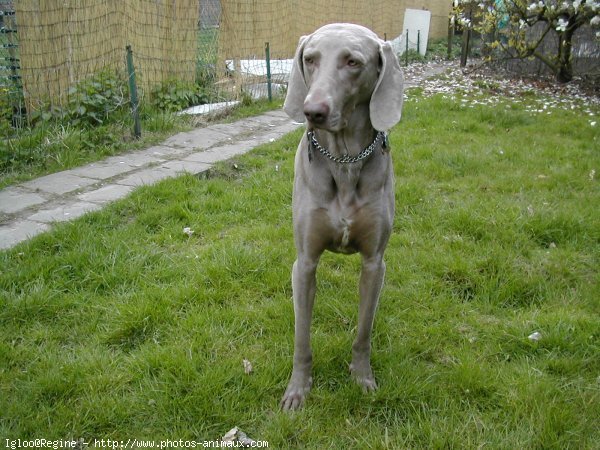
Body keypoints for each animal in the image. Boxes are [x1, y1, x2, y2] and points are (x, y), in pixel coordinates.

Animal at [280, 24, 404, 412]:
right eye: (309, 59)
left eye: (353, 62)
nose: (313, 111)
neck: (344, 160)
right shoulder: (304, 263)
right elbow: (301, 337)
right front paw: (298, 389)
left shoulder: (375, 262)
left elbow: (364, 330)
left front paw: (362, 377)